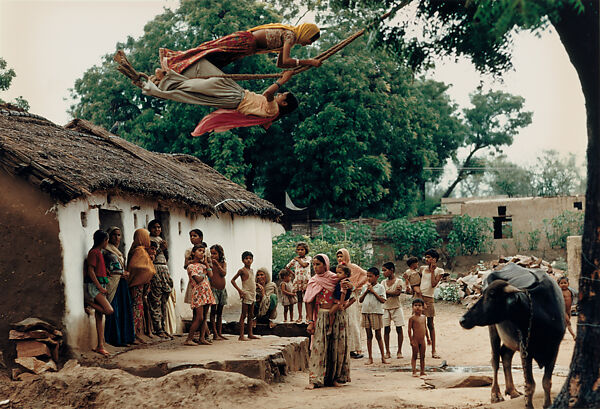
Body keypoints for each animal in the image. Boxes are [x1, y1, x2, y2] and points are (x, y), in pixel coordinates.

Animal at [460, 262, 568, 406]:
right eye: (483, 294)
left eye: (491, 295)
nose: (462, 319)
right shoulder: (525, 350)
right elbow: (530, 385)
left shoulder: (554, 349)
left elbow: (546, 382)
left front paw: (547, 404)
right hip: (493, 328)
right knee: (495, 359)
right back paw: (496, 394)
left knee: (505, 354)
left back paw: (512, 391)